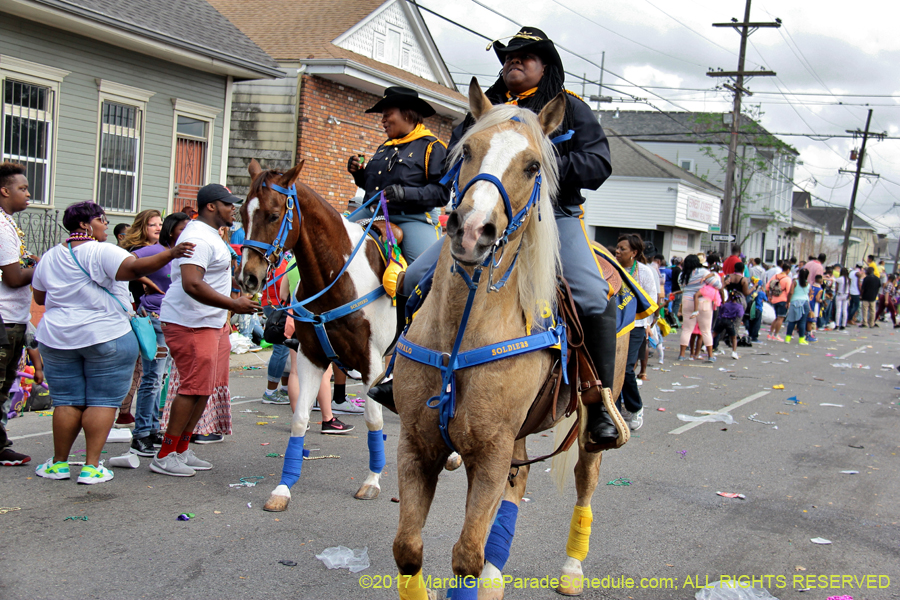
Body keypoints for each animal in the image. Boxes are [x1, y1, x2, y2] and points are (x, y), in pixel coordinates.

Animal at [237, 159, 396, 510]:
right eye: (241, 213)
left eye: (273, 215)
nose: (248, 278)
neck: (337, 277)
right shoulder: (311, 356)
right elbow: (299, 418)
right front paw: (283, 488)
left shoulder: (371, 362)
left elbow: (374, 419)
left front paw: (372, 480)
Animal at [390, 81, 628, 600]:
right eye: (466, 151)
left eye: (534, 165)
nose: (471, 230)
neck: (460, 332)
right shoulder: (418, 445)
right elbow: (408, 549)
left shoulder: (491, 452)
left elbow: (466, 555)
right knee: (518, 485)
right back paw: (498, 577)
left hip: (590, 421)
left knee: (586, 478)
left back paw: (571, 570)